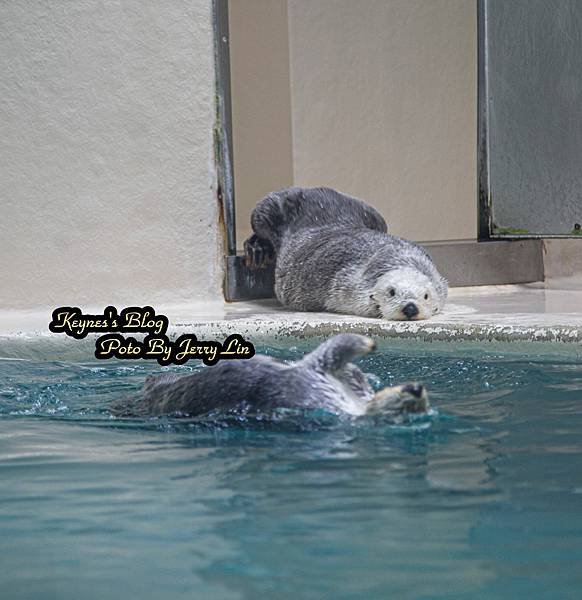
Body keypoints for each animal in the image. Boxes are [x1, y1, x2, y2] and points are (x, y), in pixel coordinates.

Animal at [244, 188, 450, 322]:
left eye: (425, 296)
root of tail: (314, 189)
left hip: (374, 215)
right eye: (391, 292)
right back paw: (257, 250)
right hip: (268, 207)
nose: (410, 307)